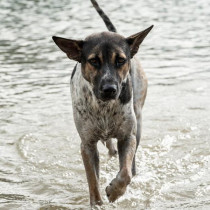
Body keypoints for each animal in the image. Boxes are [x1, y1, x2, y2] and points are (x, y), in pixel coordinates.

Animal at [52, 0, 153, 207]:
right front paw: (97, 204)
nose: (109, 89)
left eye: (121, 60)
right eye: (94, 61)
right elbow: (92, 181)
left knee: (131, 162)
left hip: (138, 120)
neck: (104, 107)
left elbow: (125, 173)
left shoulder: (127, 137)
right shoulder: (87, 145)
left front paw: (114, 191)